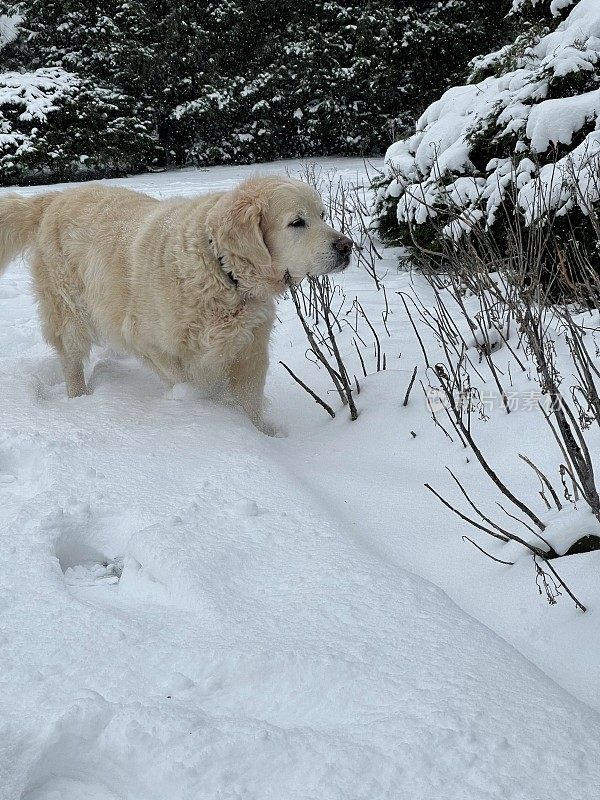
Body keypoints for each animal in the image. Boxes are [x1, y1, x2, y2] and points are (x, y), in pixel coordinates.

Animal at [0, 177, 352, 432]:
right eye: (297, 222)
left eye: (322, 215)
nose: (347, 246)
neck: (221, 270)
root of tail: (55, 197)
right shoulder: (150, 342)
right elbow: (189, 381)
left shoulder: (249, 350)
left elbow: (249, 400)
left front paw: (261, 435)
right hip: (69, 311)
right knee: (71, 359)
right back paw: (80, 400)